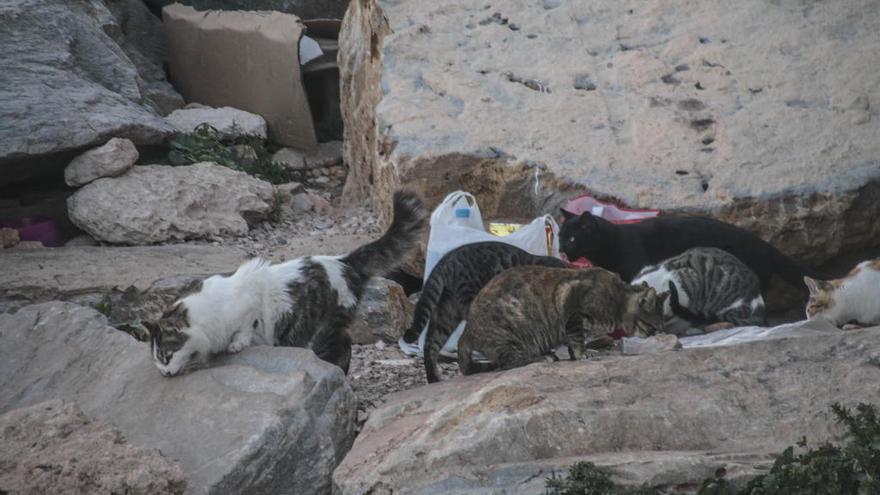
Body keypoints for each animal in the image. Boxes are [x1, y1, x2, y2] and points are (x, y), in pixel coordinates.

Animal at [146, 192, 428, 378]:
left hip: (323, 329)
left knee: (342, 349)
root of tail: (343, 260)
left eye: (165, 356)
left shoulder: (249, 303)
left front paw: (236, 344)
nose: (164, 373)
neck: (206, 317)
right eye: (158, 360)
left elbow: (244, 327)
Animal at [398, 242, 572, 386]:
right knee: (469, 342)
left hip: (446, 313)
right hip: (475, 305)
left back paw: (434, 378)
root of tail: (446, 262)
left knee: (430, 345)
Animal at [446, 268, 668, 380]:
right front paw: (582, 353)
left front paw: (575, 354)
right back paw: (542, 357)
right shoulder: (574, 309)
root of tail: (466, 332)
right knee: (509, 363)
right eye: (653, 326)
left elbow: (572, 342)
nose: (657, 334)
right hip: (511, 331)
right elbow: (577, 339)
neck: (617, 297)